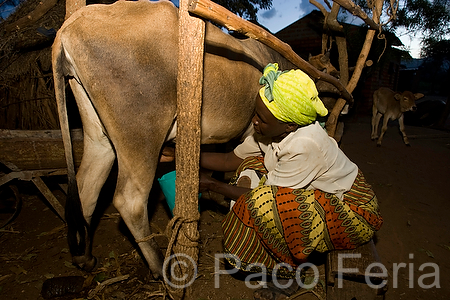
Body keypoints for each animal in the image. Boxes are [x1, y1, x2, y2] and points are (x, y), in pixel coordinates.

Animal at [51, 0, 298, 278]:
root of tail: (71, 25)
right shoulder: (249, 128)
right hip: (141, 131)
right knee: (130, 200)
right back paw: (160, 265)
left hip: (98, 134)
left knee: (86, 190)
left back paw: (85, 258)